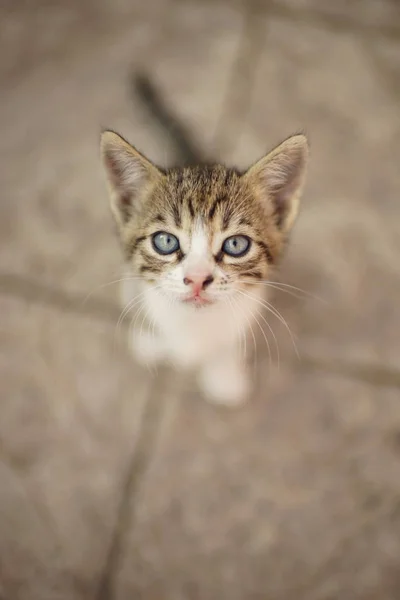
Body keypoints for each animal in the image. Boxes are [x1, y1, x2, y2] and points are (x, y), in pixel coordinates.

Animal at [101, 129, 310, 406]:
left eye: (235, 244)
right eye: (165, 241)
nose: (197, 279)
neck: (194, 323)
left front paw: (224, 374)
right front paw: (150, 340)